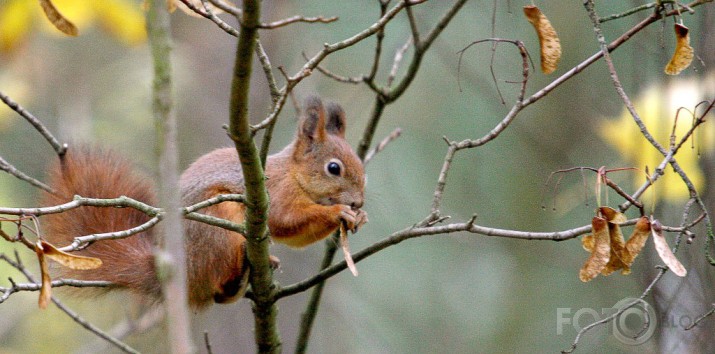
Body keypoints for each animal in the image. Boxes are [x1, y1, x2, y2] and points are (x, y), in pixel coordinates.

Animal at [43, 96, 370, 306]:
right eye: (334, 168)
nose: (358, 202)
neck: (293, 174)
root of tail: (175, 272)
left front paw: (359, 217)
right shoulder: (275, 194)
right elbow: (285, 220)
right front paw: (340, 212)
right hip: (217, 225)